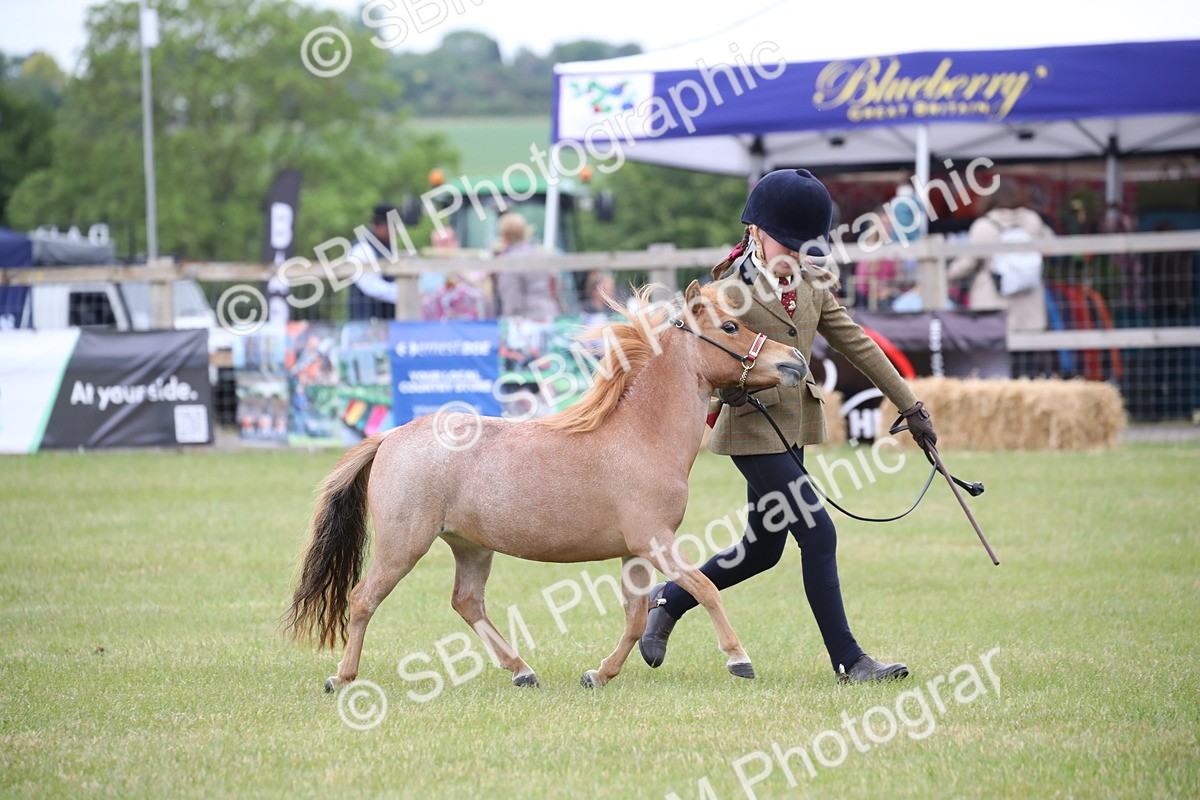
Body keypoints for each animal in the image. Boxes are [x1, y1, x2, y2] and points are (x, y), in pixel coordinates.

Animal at [284, 280, 809, 691]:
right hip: (402, 546)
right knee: (363, 599)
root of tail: (391, 436)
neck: (641, 435)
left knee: (466, 602)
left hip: (470, 547)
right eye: (730, 329)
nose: (797, 361)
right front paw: (739, 658)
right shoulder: (655, 541)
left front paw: (599, 674)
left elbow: (637, 617)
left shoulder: (634, 552)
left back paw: (522, 670)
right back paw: (342, 677)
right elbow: (705, 588)